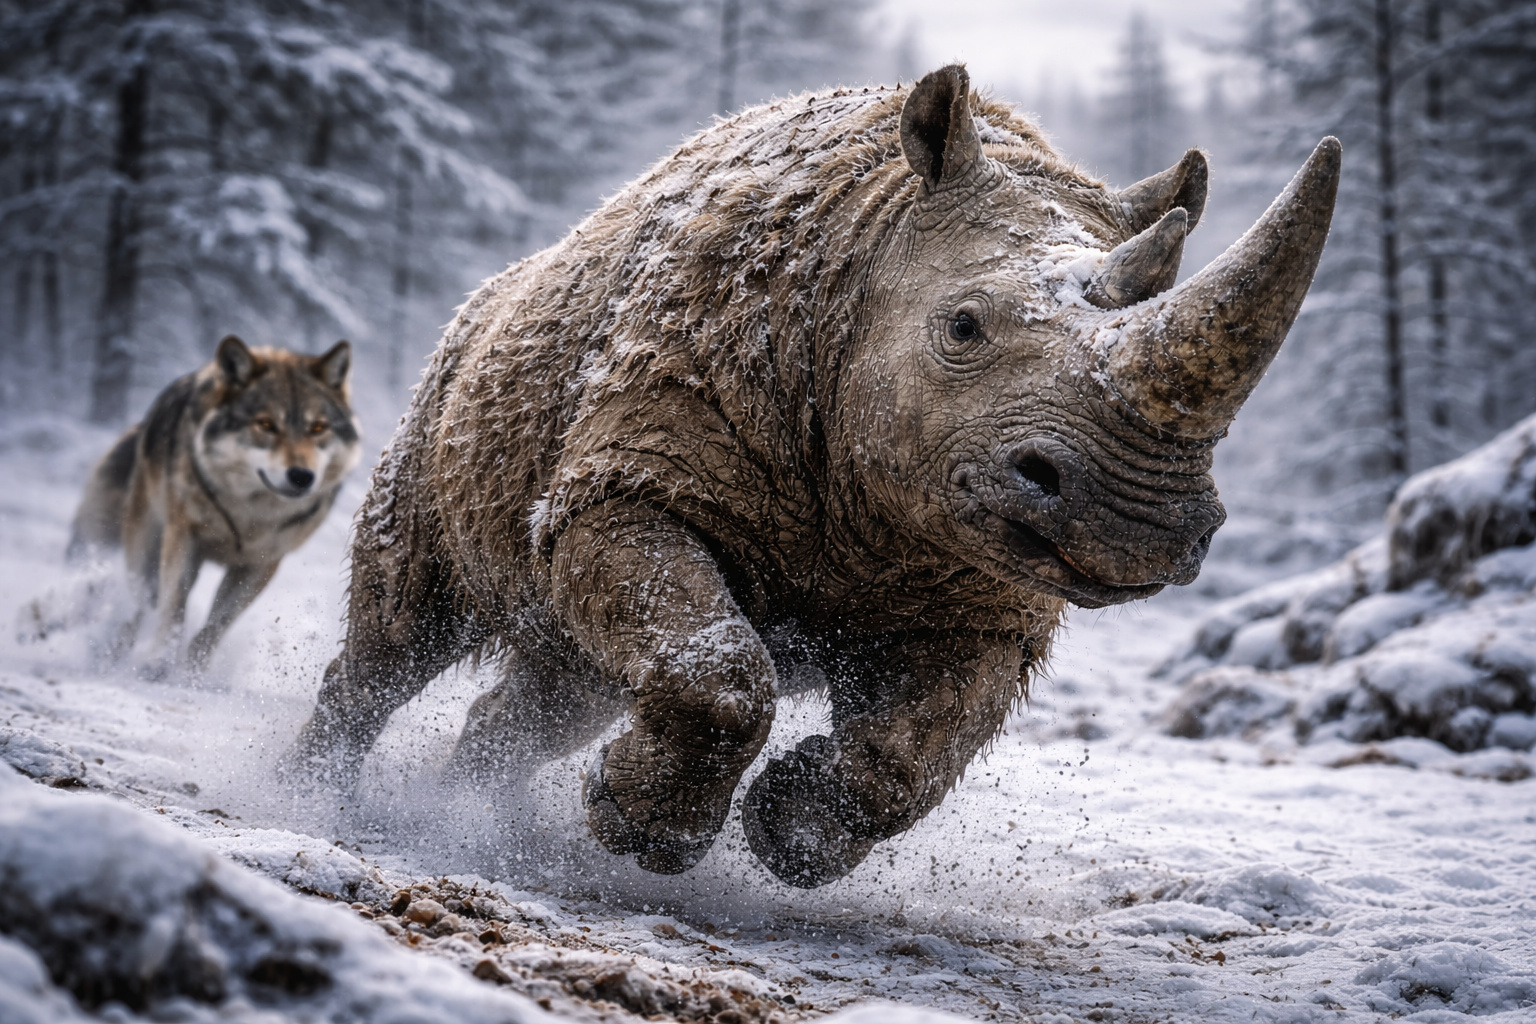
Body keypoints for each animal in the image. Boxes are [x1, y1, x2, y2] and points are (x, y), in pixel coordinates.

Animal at [68, 335, 360, 672]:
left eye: (318, 428)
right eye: (266, 424)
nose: (301, 476)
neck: (248, 514)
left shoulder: (262, 564)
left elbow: (217, 625)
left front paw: (192, 672)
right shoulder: (183, 539)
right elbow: (174, 608)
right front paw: (159, 663)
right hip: (144, 547)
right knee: (139, 604)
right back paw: (112, 654)